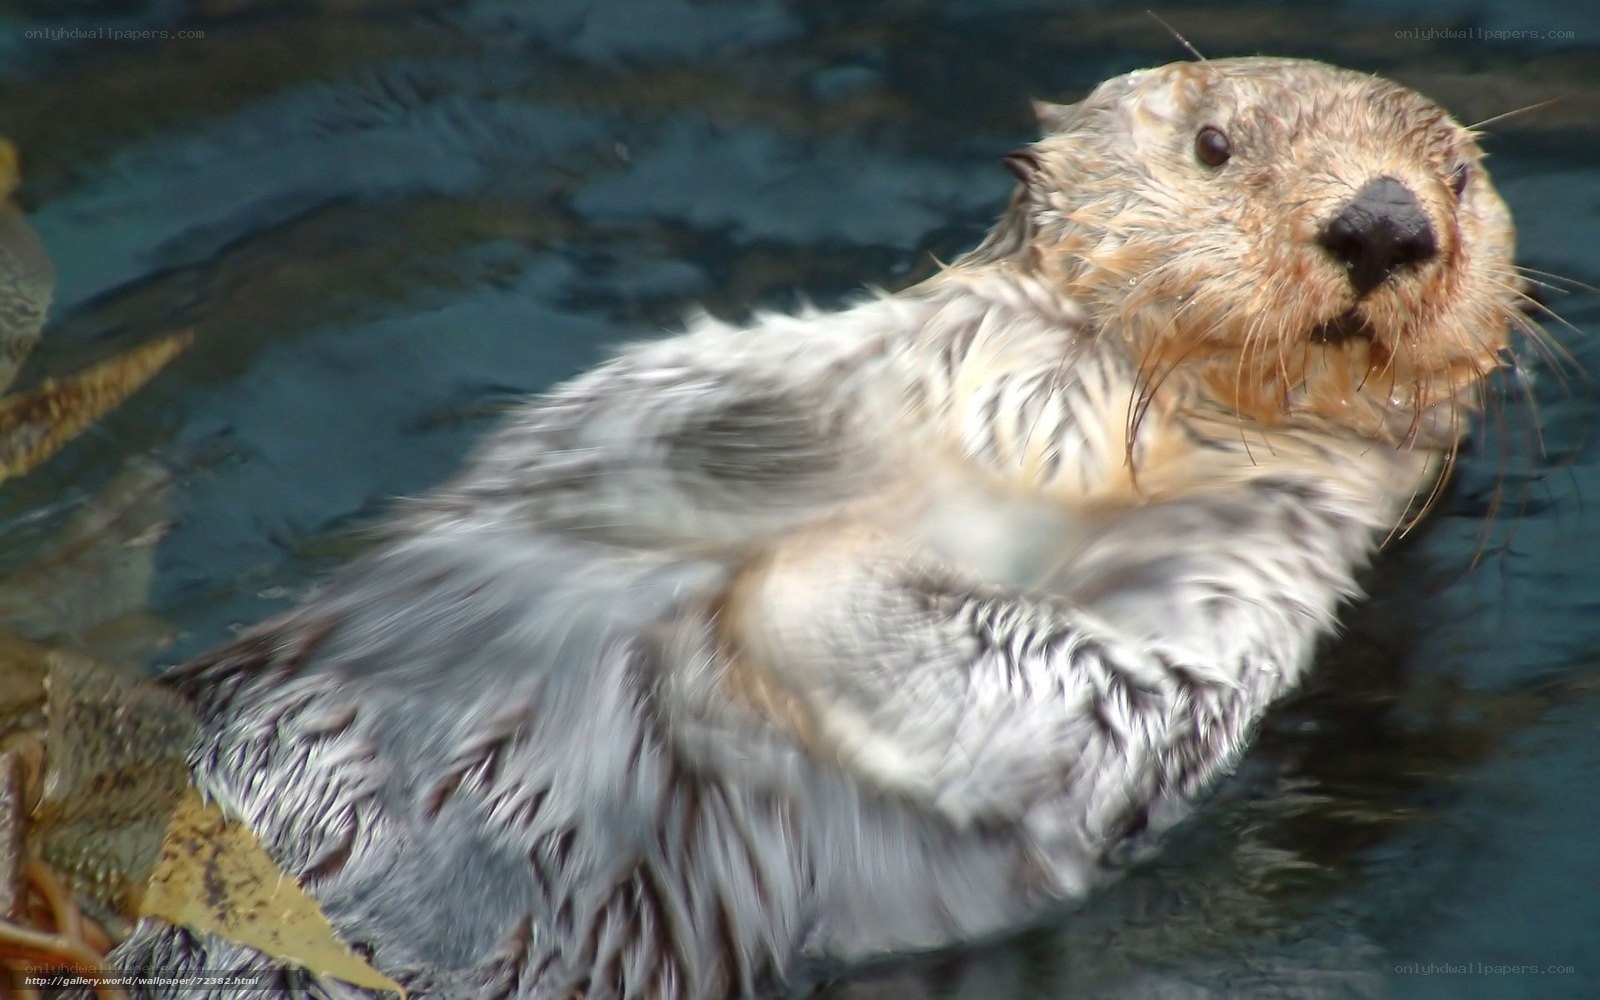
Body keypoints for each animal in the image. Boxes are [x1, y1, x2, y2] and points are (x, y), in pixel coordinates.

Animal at [110, 57, 1520, 998]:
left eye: (1458, 177)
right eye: (1216, 144)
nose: (1386, 218)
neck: (1100, 447)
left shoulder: (1244, 583)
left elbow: (1078, 696)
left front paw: (782, 580)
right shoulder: (885, 355)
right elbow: (644, 412)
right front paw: (760, 465)